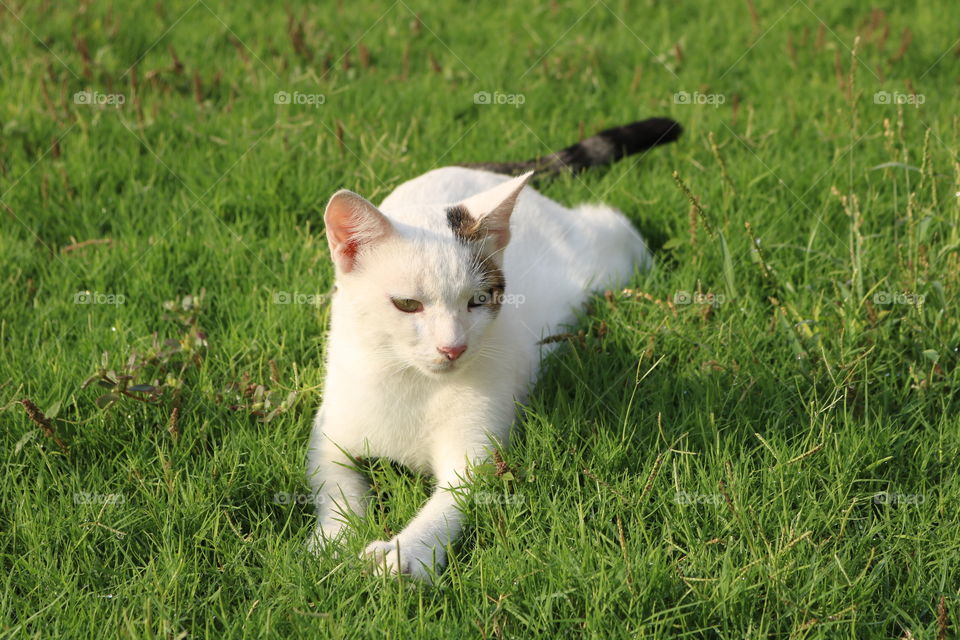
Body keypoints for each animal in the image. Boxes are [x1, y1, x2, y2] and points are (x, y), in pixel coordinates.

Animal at [308, 117, 684, 584]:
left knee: (613, 226)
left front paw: (407, 551)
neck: (413, 382)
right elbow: (334, 484)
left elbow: (455, 496)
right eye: (408, 305)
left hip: (605, 255)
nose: (453, 347)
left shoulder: (478, 450)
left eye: (479, 300)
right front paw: (333, 539)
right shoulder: (328, 432)